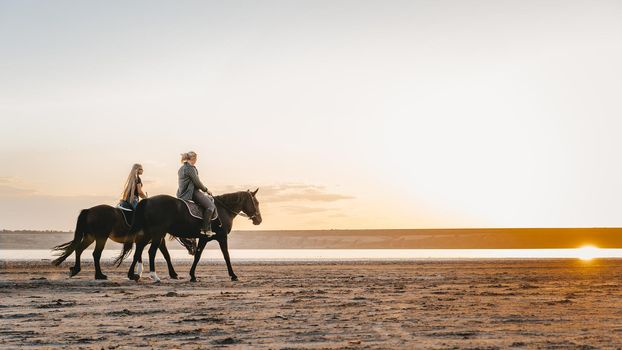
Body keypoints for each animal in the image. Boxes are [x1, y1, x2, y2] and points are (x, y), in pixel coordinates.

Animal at [52, 204, 196, 280]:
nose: (194, 251)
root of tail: (89, 210)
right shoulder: (157, 239)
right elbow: (166, 255)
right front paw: (173, 274)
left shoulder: (150, 240)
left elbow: (142, 255)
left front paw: (137, 273)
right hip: (101, 237)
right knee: (96, 254)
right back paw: (99, 275)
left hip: (90, 237)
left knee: (79, 249)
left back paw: (76, 269)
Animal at [116, 189, 262, 282]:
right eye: (257, 202)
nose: (259, 220)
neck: (223, 210)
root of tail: (147, 201)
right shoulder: (222, 237)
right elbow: (226, 256)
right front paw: (233, 275)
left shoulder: (203, 238)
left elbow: (197, 256)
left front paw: (192, 276)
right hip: (157, 234)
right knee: (151, 252)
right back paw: (154, 276)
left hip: (149, 234)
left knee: (138, 250)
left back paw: (132, 275)